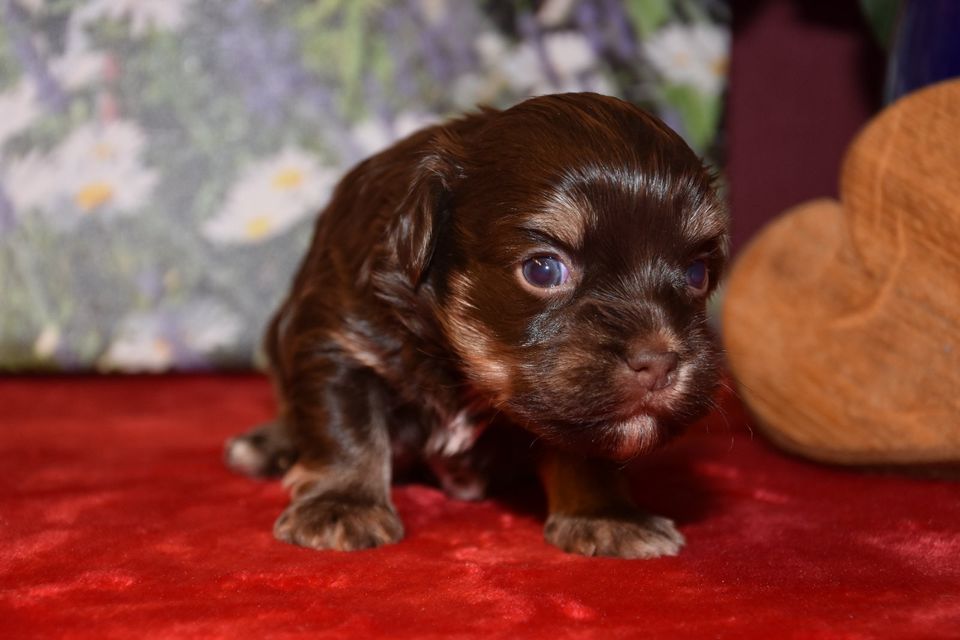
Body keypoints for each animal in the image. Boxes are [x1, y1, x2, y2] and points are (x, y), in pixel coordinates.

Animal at [225, 92, 732, 556]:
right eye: (543, 270)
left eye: (697, 273)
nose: (659, 362)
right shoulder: (340, 339)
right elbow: (347, 425)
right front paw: (342, 505)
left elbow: (582, 445)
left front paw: (607, 515)